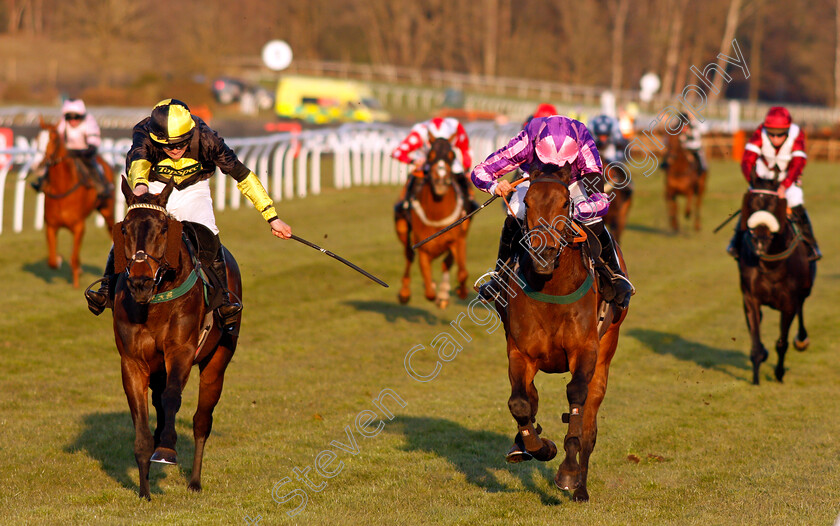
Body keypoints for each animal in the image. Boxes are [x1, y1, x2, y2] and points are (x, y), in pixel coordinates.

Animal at [38, 119, 115, 288]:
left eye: (54, 139)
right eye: (37, 138)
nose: (39, 164)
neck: (62, 188)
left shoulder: (79, 226)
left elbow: (73, 257)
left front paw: (75, 282)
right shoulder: (51, 226)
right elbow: (52, 261)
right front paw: (59, 259)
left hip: (107, 209)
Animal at [110, 176, 240, 500]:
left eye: (163, 229)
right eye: (124, 229)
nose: (140, 283)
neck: (155, 302)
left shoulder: (181, 351)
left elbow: (173, 397)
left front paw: (167, 448)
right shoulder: (132, 362)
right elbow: (142, 423)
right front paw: (144, 490)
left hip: (217, 361)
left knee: (201, 420)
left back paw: (194, 480)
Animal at [396, 138, 470, 310]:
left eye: (452, 155)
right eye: (430, 155)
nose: (441, 180)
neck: (437, 215)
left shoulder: (458, 239)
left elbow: (462, 272)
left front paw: (458, 292)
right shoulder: (423, 247)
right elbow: (429, 292)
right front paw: (433, 288)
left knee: (447, 263)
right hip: (402, 228)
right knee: (409, 256)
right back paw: (405, 292)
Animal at [496, 165, 628, 504]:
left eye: (565, 202)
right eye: (527, 203)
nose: (542, 255)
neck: (552, 288)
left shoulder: (586, 351)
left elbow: (577, 403)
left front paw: (568, 473)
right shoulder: (520, 352)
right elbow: (520, 402)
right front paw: (536, 447)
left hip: (606, 354)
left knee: (589, 427)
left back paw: (580, 487)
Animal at [736, 175, 812, 386]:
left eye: (774, 203)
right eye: (751, 203)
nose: (760, 241)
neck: (771, 264)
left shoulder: (789, 303)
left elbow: (782, 343)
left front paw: (779, 373)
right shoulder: (750, 298)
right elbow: (755, 340)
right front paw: (755, 378)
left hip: (805, 289)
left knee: (802, 309)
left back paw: (801, 340)